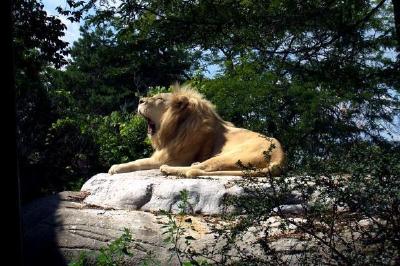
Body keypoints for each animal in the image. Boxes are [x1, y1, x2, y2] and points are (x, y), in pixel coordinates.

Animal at [108, 84, 284, 177]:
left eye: (159, 99)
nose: (140, 100)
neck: (177, 126)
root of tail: (281, 156)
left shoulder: (170, 158)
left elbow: (138, 161)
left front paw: (116, 167)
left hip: (229, 155)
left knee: (196, 170)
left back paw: (168, 169)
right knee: (198, 168)